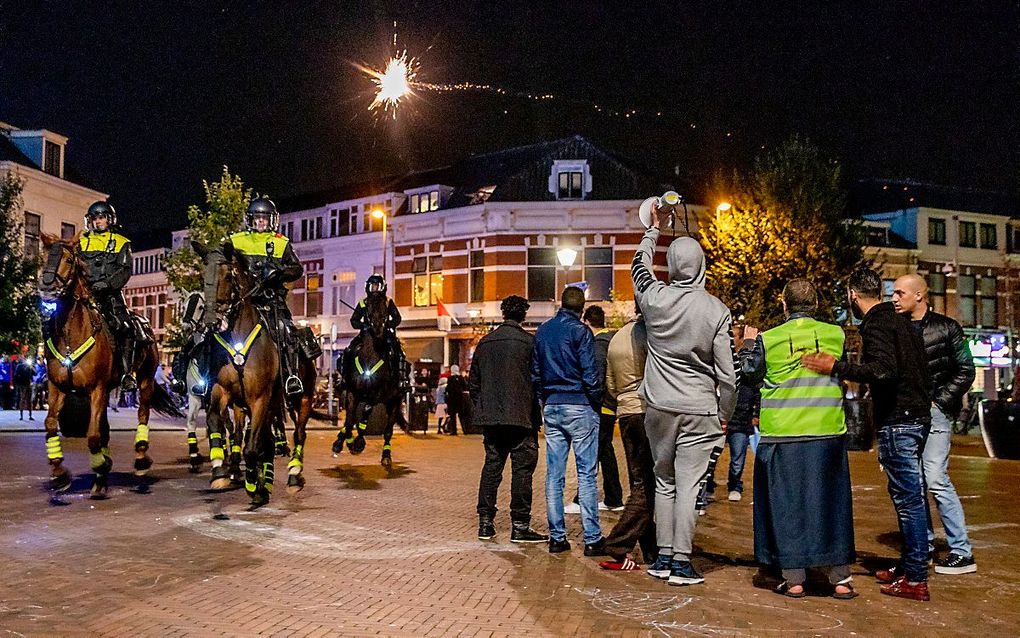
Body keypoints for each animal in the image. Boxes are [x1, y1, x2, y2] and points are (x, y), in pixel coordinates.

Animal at [39, 236, 181, 496]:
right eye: (44, 257)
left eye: (68, 259)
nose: (46, 289)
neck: (70, 335)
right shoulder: (58, 388)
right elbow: (52, 425)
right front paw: (60, 475)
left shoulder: (97, 389)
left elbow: (94, 435)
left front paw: (100, 467)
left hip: (144, 381)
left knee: (142, 415)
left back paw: (140, 461)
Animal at [205, 249, 316, 502]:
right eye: (203, 274)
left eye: (228, 275)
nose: (210, 319)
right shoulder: (222, 392)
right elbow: (216, 423)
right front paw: (219, 472)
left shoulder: (259, 399)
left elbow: (251, 447)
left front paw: (252, 484)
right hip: (272, 407)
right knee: (269, 440)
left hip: (302, 400)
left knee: (299, 434)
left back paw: (293, 476)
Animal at [330, 293, 401, 467]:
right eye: (368, 308)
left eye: (385, 308)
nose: (378, 329)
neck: (370, 356)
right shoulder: (352, 392)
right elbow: (349, 421)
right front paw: (341, 443)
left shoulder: (375, 395)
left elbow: (365, 415)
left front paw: (358, 443)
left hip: (394, 402)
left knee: (387, 431)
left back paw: (386, 456)